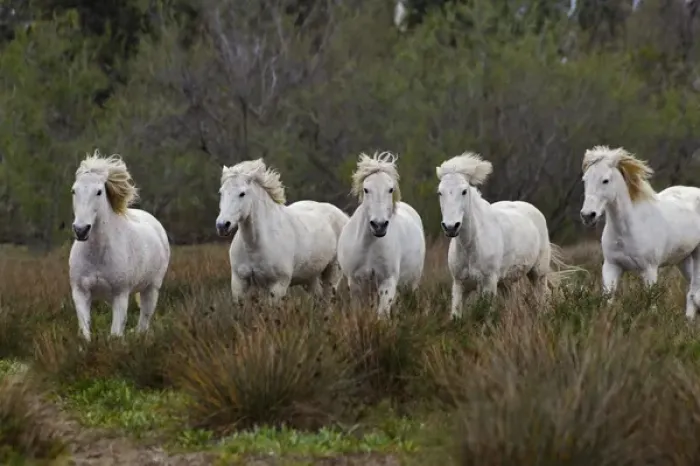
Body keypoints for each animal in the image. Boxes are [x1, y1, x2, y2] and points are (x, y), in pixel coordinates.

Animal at [68, 150, 171, 341]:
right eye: (73, 190)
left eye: (99, 192)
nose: (81, 230)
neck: (97, 254)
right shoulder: (80, 292)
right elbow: (85, 331)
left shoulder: (120, 295)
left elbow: (116, 334)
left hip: (151, 288)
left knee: (144, 320)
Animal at [215, 158, 349, 304]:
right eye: (221, 192)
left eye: (242, 193)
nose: (222, 225)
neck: (255, 246)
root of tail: (343, 216)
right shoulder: (239, 283)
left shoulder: (278, 285)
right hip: (310, 277)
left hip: (333, 272)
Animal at [337, 151, 426, 316]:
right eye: (366, 189)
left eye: (390, 189)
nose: (379, 225)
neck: (369, 246)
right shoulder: (355, 283)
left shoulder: (388, 281)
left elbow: (382, 314)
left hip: (411, 284)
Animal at [436, 151, 574, 319]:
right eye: (440, 192)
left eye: (464, 191)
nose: (451, 227)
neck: (471, 245)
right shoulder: (459, 284)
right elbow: (456, 316)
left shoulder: (489, 283)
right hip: (506, 281)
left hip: (538, 273)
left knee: (542, 298)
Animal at [580, 145, 700, 319]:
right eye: (585, 179)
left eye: (605, 180)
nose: (588, 215)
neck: (628, 230)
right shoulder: (611, 266)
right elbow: (607, 300)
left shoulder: (649, 270)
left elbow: (652, 305)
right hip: (683, 259)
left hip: (697, 255)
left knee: (694, 291)